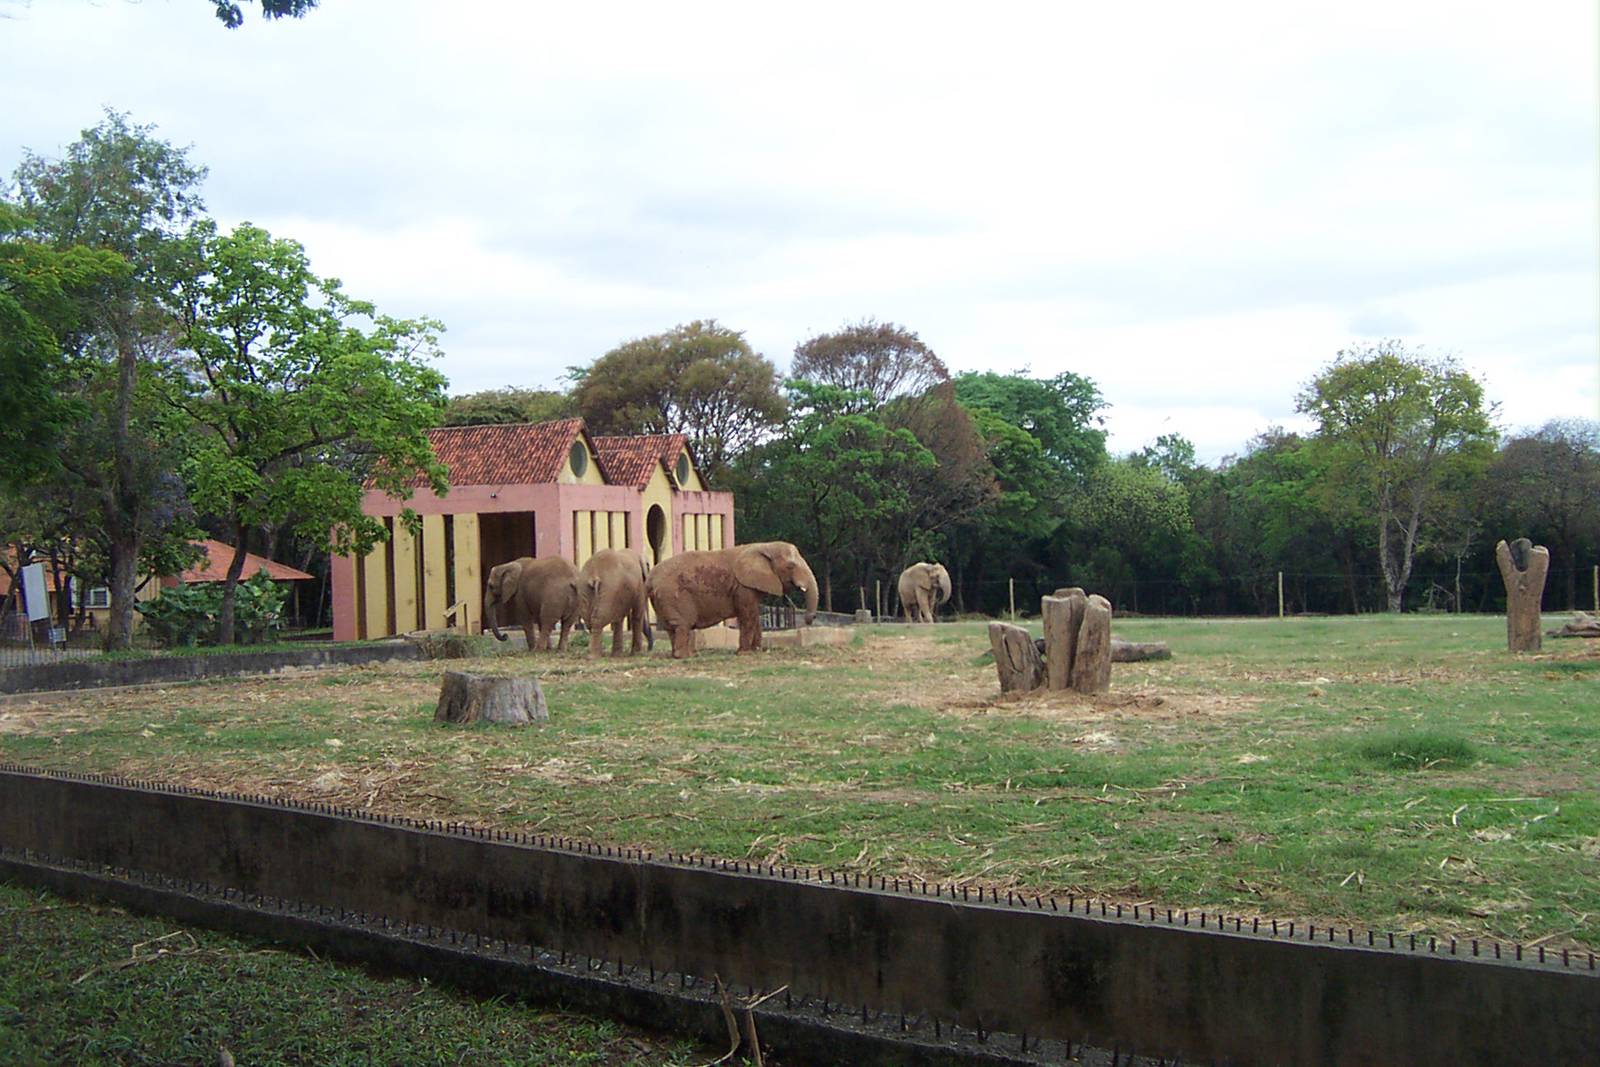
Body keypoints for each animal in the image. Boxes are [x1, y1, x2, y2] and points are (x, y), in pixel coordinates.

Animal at [647, 541, 818, 659]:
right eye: (790, 566)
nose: (809, 621)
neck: (765, 546)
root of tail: (650, 579)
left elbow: (754, 616)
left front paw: (757, 651)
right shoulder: (743, 587)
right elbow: (747, 616)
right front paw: (744, 654)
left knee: (672, 628)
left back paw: (682, 654)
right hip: (673, 595)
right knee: (682, 625)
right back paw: (685, 656)